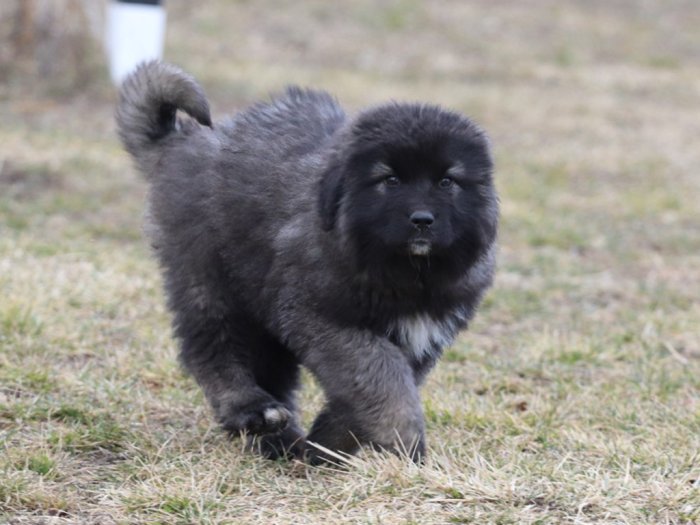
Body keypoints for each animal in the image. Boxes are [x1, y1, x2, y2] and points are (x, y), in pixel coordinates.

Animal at [116, 62, 498, 462]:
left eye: (447, 182)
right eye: (390, 180)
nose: (422, 220)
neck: (409, 273)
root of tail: (183, 142)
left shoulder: (421, 338)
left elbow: (365, 390)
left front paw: (329, 442)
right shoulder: (326, 321)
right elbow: (382, 377)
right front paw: (403, 440)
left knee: (268, 370)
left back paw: (278, 439)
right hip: (208, 279)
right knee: (214, 348)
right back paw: (252, 409)